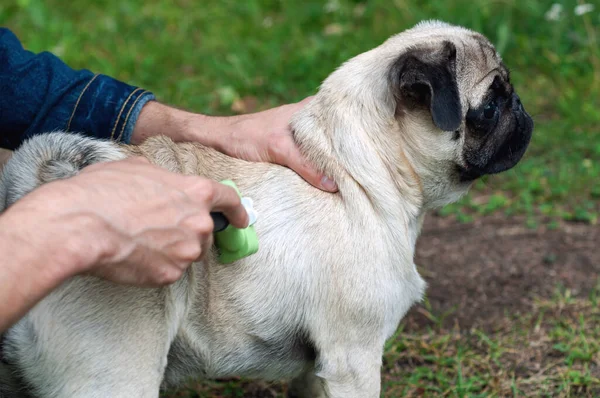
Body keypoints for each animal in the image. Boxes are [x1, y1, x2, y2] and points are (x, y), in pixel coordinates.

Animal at [0, 20, 536, 396]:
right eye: (491, 105)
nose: (522, 113)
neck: (360, 173)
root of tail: (38, 179)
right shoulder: (354, 357)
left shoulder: (320, 367)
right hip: (112, 373)